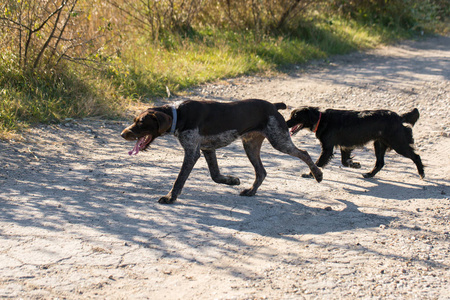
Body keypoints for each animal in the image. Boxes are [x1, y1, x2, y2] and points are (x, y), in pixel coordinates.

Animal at [121, 99, 322, 204]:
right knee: (261, 172)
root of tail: (273, 105)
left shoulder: (192, 152)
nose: (123, 134)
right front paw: (231, 180)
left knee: (304, 153)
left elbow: (179, 180)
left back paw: (317, 174)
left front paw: (170, 197)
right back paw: (251, 191)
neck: (179, 115)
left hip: (279, 141)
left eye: (141, 123)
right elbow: (215, 175)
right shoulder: (207, 149)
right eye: (134, 120)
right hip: (250, 146)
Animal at [286, 106, 424, 178]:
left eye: (295, 116)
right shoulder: (345, 146)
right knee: (380, 163)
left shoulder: (327, 149)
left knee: (416, 156)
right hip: (379, 144)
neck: (322, 119)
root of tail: (399, 117)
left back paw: (422, 173)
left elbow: (318, 163)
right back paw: (369, 174)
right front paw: (355, 164)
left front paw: (310, 174)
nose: (285, 123)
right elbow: (344, 161)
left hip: (398, 143)